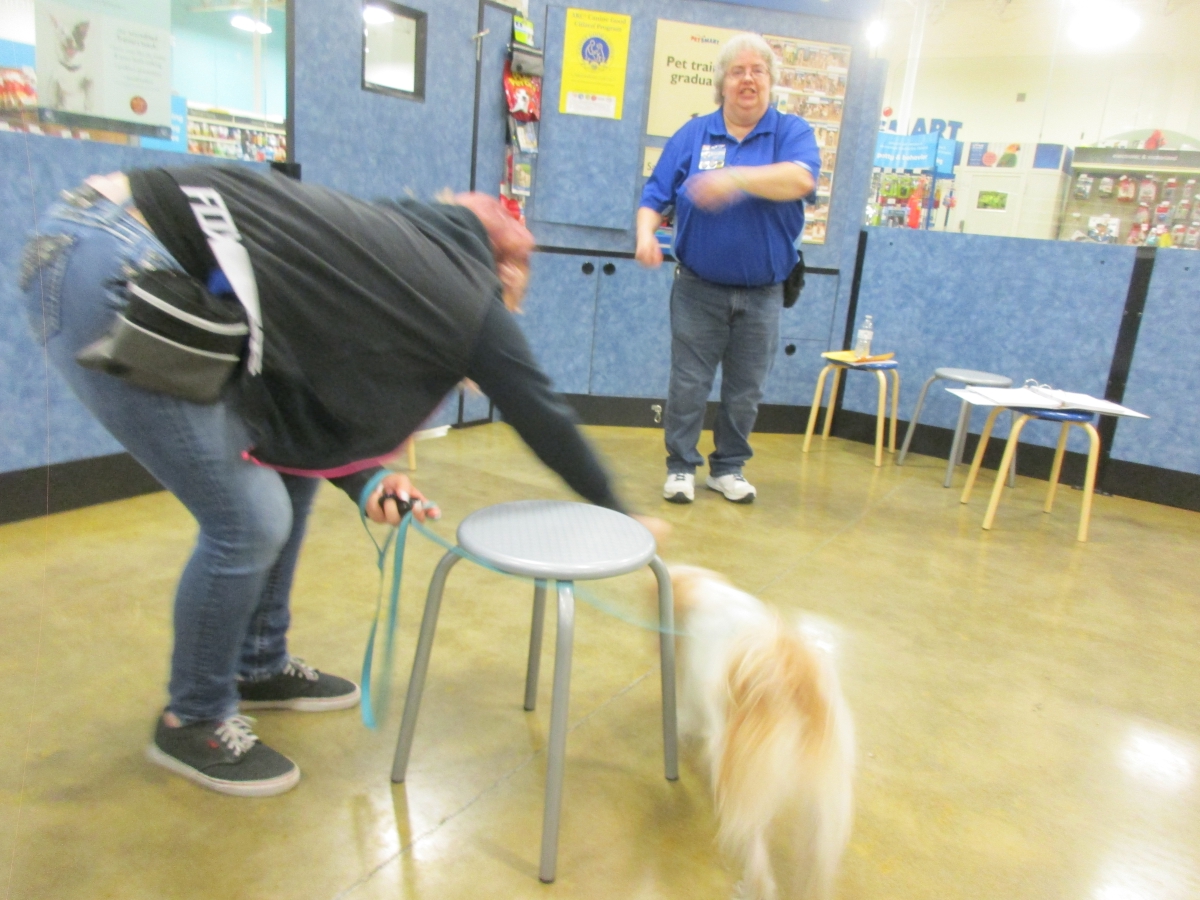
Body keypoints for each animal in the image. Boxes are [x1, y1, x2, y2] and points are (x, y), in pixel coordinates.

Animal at [669, 565, 855, 900]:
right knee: (816, 856)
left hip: (745, 784)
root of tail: (795, 680)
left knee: (756, 852)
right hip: (824, 801)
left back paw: (752, 886)